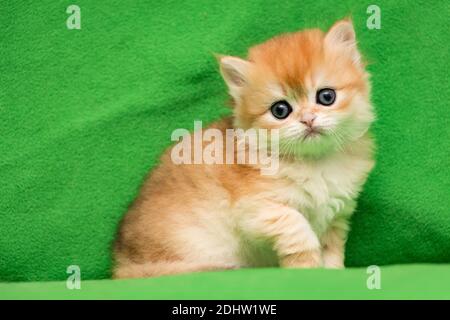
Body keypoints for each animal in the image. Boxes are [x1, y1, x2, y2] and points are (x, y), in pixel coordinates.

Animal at [113, 20, 376, 278]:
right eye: (280, 110)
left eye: (326, 97)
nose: (308, 119)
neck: (314, 162)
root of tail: (122, 266)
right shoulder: (258, 210)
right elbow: (299, 232)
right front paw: (307, 268)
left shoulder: (337, 215)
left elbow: (332, 247)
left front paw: (333, 272)